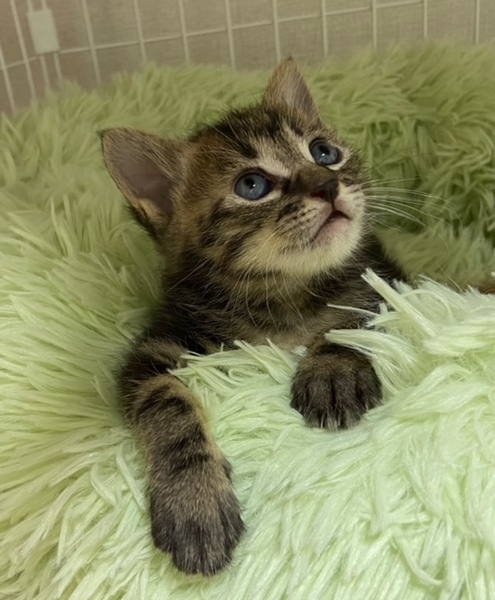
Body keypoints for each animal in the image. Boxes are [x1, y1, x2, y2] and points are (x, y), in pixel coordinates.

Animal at [101, 58, 404, 576]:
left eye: (324, 153)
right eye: (252, 185)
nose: (327, 184)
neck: (283, 298)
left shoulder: (386, 280)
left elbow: (354, 309)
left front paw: (333, 370)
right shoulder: (158, 346)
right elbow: (165, 400)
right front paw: (194, 501)